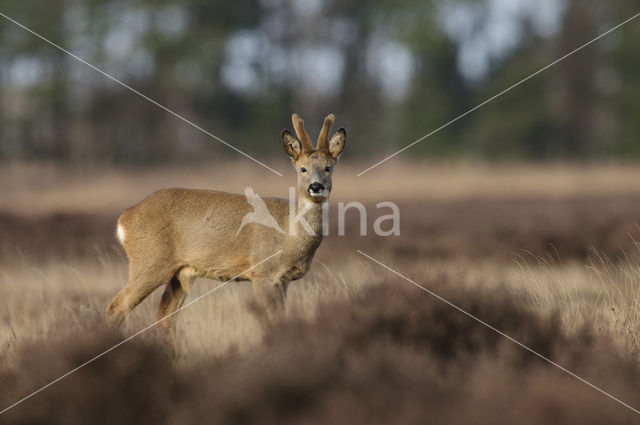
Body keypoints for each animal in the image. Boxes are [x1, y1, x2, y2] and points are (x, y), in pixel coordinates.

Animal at [106, 113, 344, 342]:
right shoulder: (262, 272)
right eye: (303, 169)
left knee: (164, 317)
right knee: (117, 308)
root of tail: (124, 218)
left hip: (179, 273)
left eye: (328, 168)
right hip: (149, 262)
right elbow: (269, 320)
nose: (316, 186)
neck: (289, 236)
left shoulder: (283, 280)